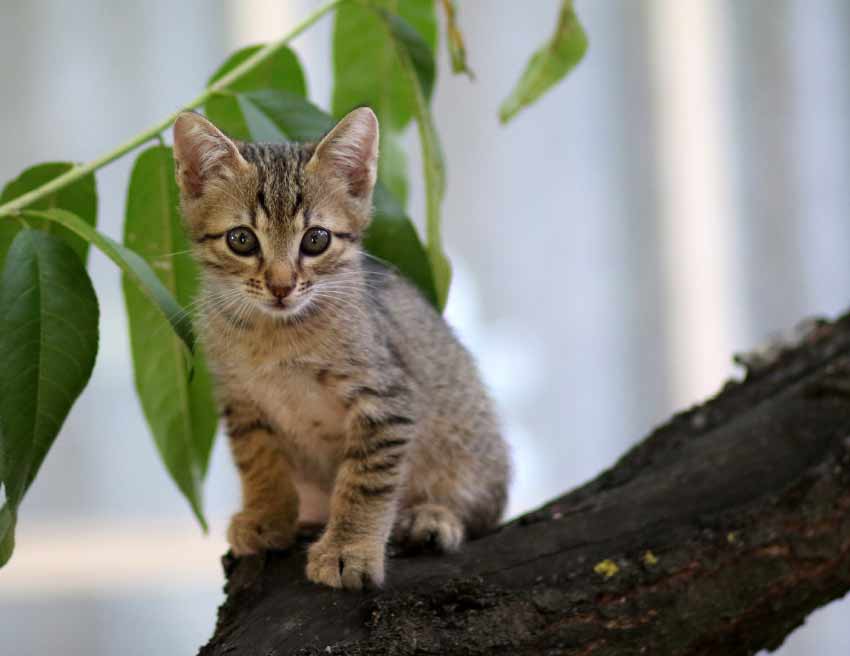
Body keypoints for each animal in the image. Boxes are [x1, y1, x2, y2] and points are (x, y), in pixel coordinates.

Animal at [169, 107, 506, 588]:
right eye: (241, 239)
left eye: (316, 239)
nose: (281, 285)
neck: (276, 335)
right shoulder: (239, 399)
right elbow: (258, 461)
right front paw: (267, 516)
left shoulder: (386, 400)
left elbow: (364, 480)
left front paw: (348, 549)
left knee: (482, 512)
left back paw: (433, 517)